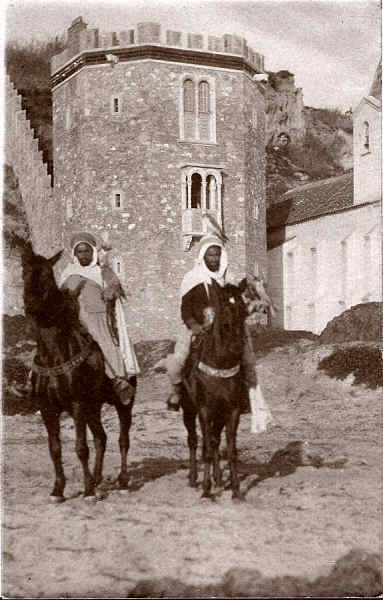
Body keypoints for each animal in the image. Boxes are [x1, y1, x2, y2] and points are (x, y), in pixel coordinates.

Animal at [20, 241, 136, 500]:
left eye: (47, 275)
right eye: (24, 273)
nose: (30, 306)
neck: (54, 354)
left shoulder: (77, 404)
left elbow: (81, 447)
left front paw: (88, 490)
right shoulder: (48, 408)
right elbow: (54, 448)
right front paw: (58, 490)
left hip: (121, 404)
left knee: (123, 439)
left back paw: (123, 480)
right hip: (93, 406)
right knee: (101, 438)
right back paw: (98, 478)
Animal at [180, 282, 252, 502]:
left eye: (244, 311)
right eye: (225, 310)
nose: (238, 347)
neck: (220, 363)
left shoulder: (232, 411)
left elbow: (230, 450)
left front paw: (236, 490)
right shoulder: (204, 411)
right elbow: (206, 451)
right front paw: (206, 490)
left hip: (219, 415)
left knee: (214, 441)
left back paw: (218, 478)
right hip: (189, 410)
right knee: (195, 441)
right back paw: (194, 477)